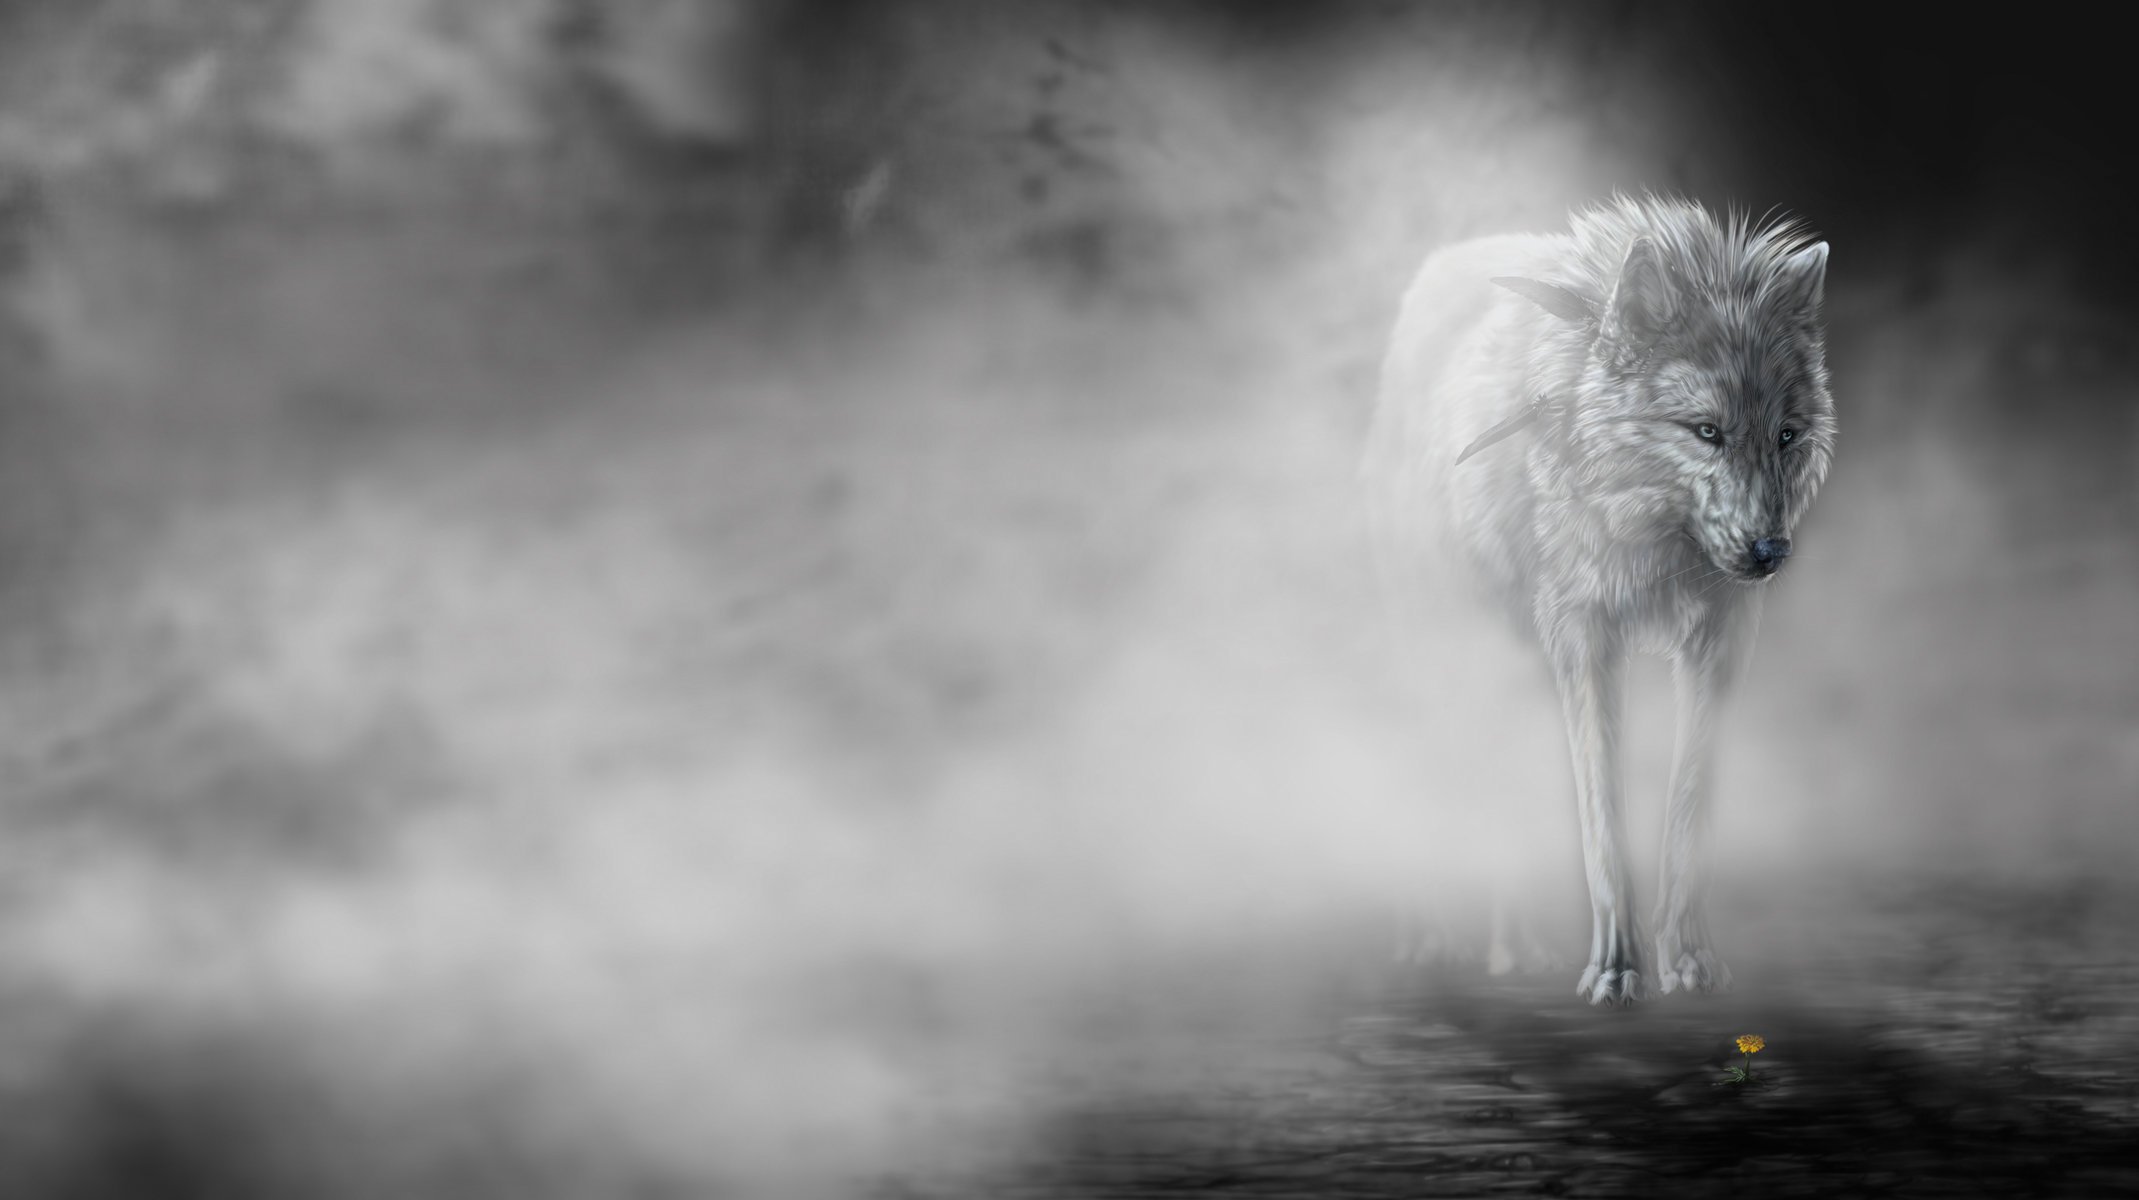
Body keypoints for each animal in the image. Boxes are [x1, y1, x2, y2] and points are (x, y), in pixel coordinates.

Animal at [1363, 195, 1835, 1005]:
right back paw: (1439, 939)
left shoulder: (1722, 638)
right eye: (1705, 431)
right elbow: (1602, 820)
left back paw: (1514, 947)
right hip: (1457, 657)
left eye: (1785, 435)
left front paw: (1688, 960)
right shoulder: (1583, 635)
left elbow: (1689, 808)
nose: (1768, 552)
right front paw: (1616, 969)